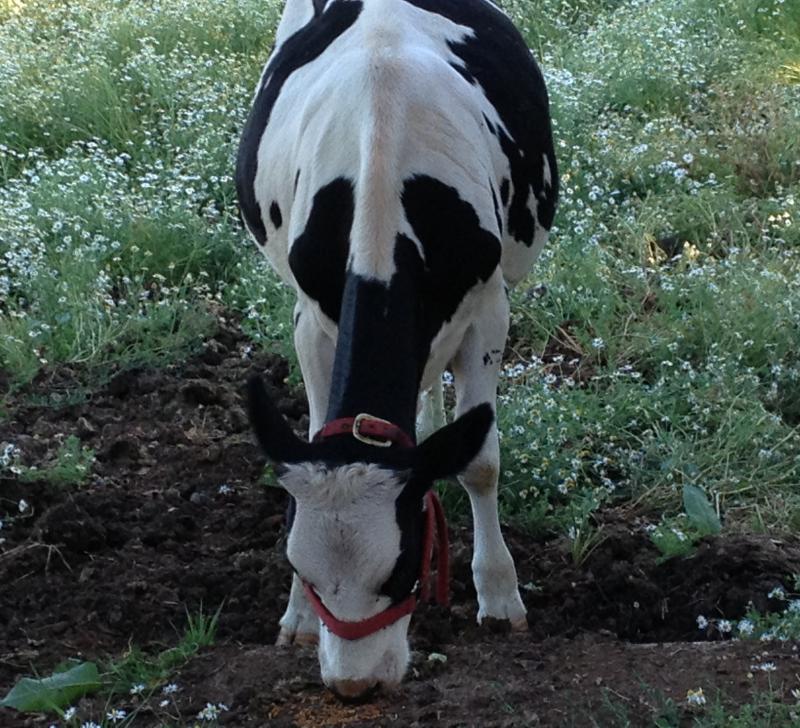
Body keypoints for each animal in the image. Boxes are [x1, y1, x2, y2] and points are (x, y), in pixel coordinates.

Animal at [236, 0, 558, 700]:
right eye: (302, 566)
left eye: (403, 567)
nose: (354, 686)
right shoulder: (310, 320)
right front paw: (298, 618)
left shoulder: (489, 309)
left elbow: (481, 460)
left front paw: (500, 596)